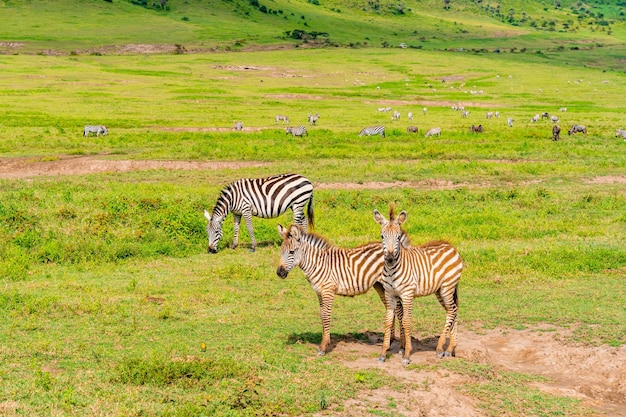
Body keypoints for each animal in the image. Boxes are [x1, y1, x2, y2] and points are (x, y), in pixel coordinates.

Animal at [276, 223, 402, 356]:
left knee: (399, 310)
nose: (279, 273)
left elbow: (326, 315)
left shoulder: (328, 291)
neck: (317, 263)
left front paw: (323, 347)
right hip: (380, 286)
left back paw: (402, 347)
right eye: (281, 252)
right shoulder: (319, 292)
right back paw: (390, 342)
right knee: (391, 309)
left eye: (291, 252)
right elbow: (322, 314)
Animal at [372, 206, 460, 362]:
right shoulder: (390, 294)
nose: (389, 259)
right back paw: (450, 349)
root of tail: (451, 246)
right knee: (453, 311)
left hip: (447, 287)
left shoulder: (407, 294)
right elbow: (388, 321)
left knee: (451, 311)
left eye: (398, 237)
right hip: (440, 291)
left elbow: (406, 321)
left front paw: (407, 354)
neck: (392, 270)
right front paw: (383, 354)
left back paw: (440, 349)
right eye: (382, 236)